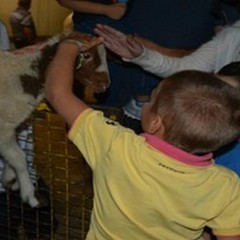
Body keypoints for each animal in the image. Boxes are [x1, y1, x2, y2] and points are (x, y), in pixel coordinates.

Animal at [0, 32, 109, 208]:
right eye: (87, 55)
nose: (106, 84)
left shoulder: (10, 128)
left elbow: (12, 156)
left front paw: (9, 179)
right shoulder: (3, 129)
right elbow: (19, 158)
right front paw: (31, 196)